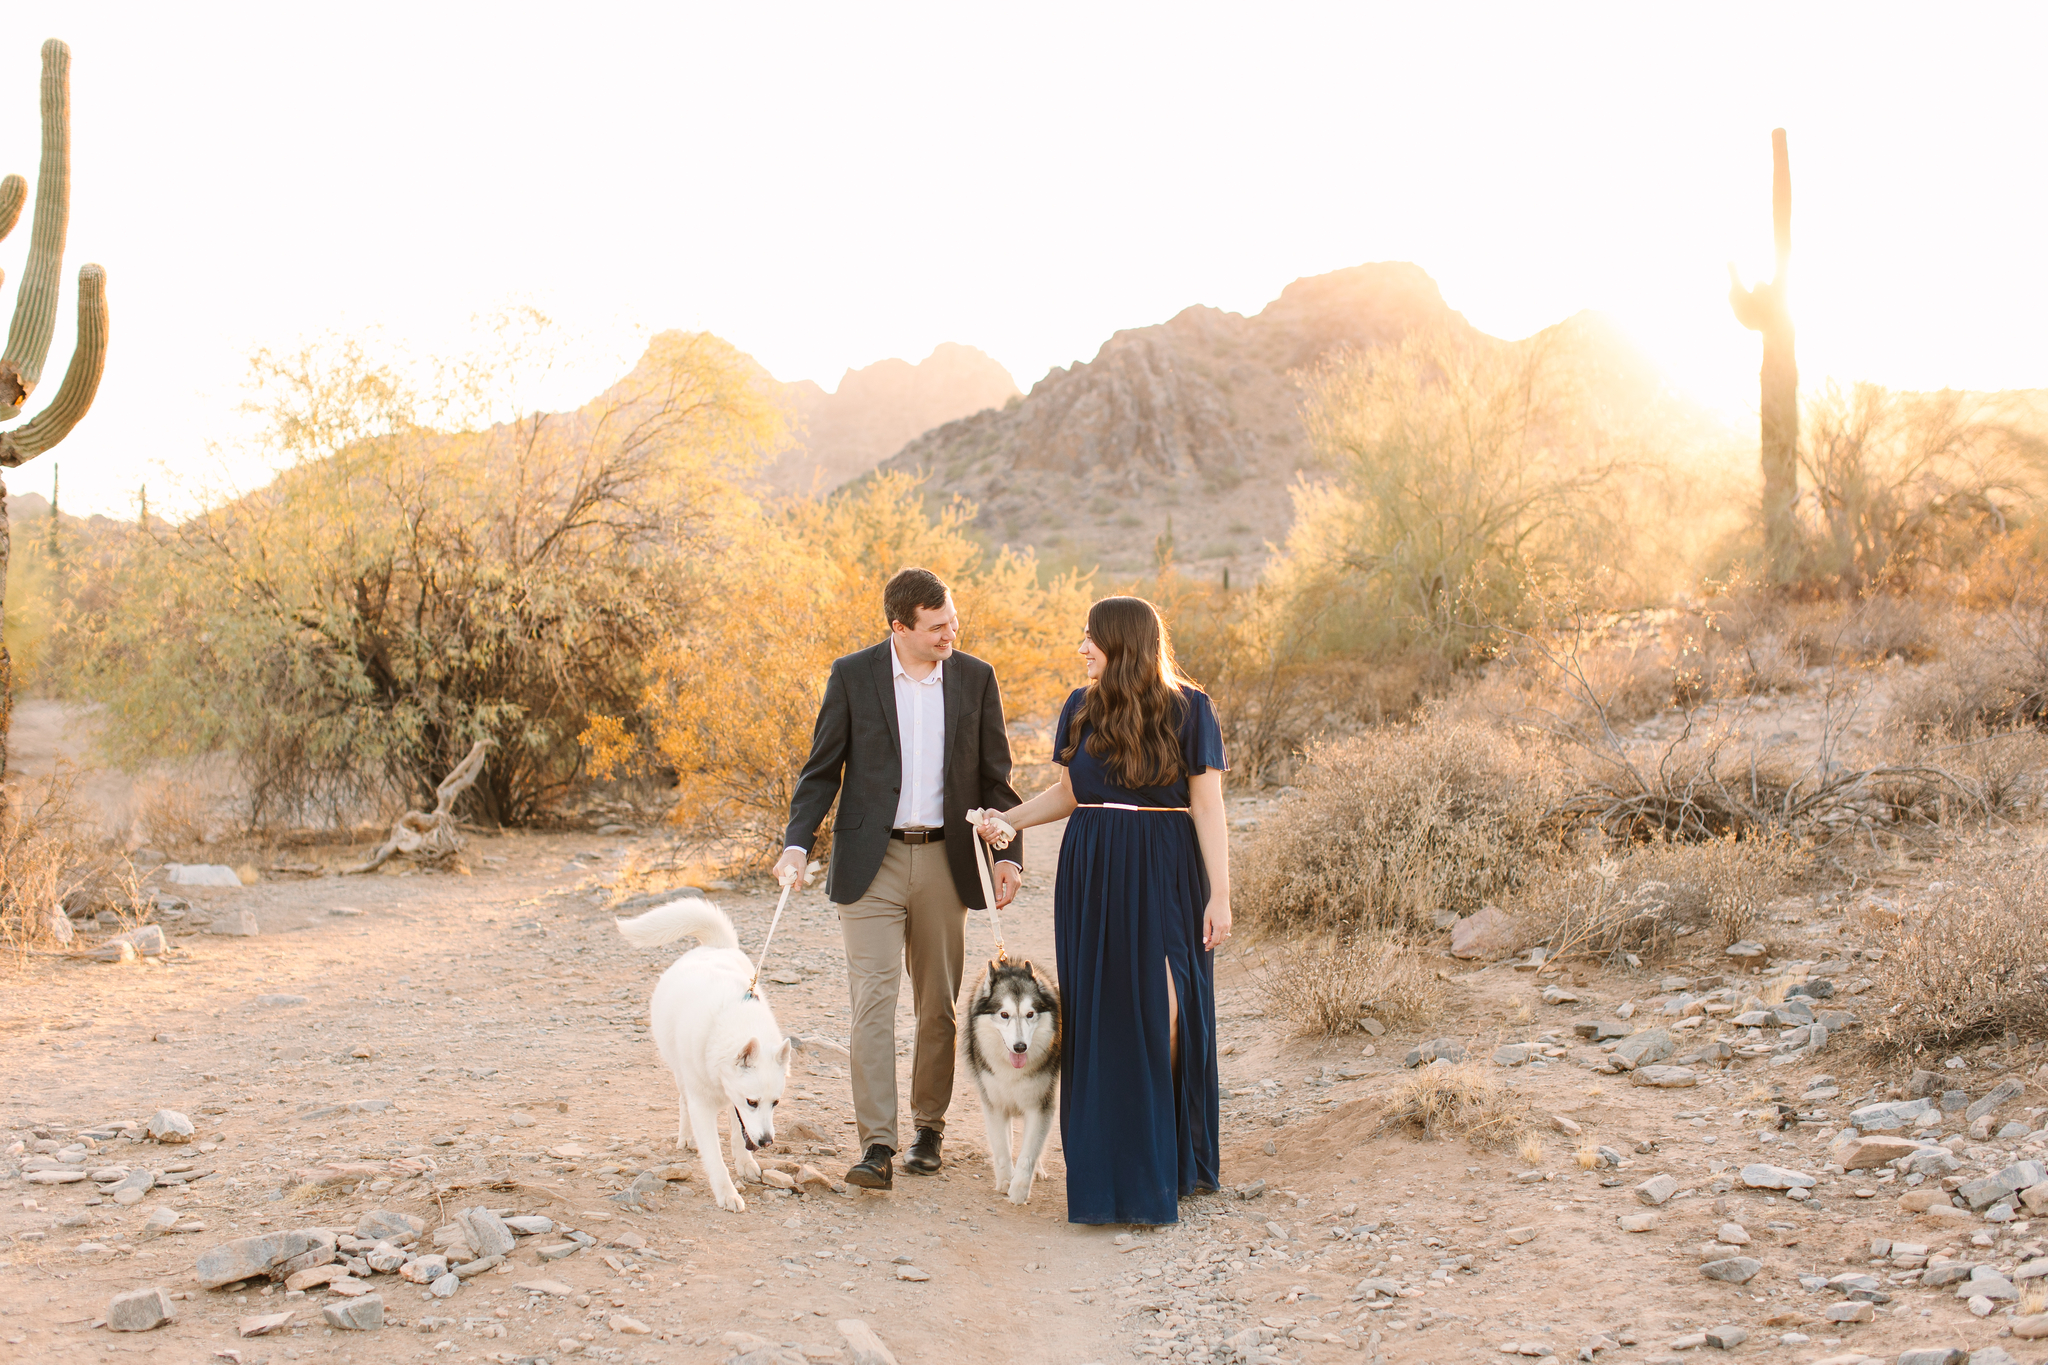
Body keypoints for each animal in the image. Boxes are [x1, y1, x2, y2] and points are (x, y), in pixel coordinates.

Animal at [610, 900, 786, 1211]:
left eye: (775, 1103)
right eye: (753, 1102)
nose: (767, 1142)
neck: (729, 1020)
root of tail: (715, 947)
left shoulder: (735, 1104)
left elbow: (740, 1133)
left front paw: (745, 1163)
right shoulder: (706, 1106)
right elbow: (714, 1157)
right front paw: (727, 1193)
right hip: (680, 1074)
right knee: (683, 1102)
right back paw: (687, 1137)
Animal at [954, 957, 1056, 1203]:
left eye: (1030, 1014)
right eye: (1004, 1015)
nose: (1020, 1047)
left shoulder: (1040, 1104)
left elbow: (1029, 1153)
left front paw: (1019, 1191)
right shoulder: (994, 1104)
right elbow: (1002, 1148)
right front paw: (1006, 1181)